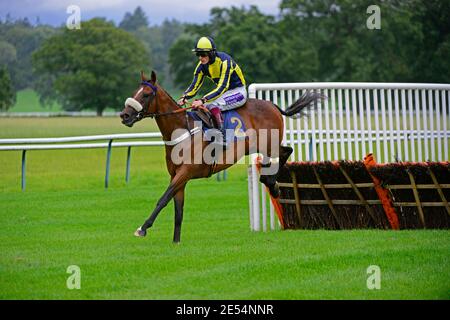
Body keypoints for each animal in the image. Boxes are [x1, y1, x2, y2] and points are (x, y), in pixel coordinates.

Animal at [119, 71, 324, 242]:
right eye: (135, 91)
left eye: (146, 94)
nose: (124, 115)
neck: (182, 130)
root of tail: (272, 105)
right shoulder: (177, 176)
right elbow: (178, 209)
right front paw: (176, 241)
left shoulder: (185, 173)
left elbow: (163, 199)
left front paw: (142, 228)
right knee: (283, 152)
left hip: (268, 144)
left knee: (284, 153)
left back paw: (271, 184)